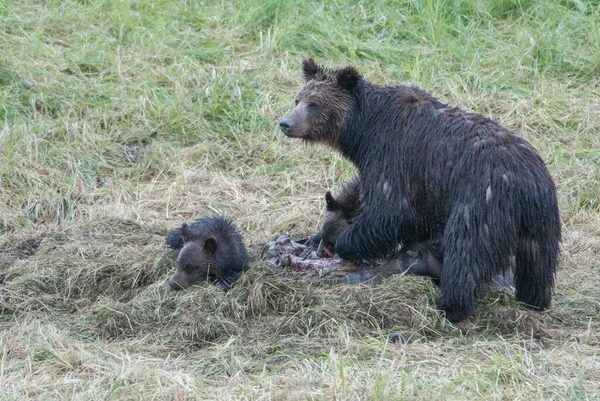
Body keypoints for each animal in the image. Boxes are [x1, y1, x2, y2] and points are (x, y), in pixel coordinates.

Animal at [282, 57, 564, 322]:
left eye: (314, 103)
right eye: (297, 98)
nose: (285, 123)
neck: (364, 131)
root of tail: (527, 183)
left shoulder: (392, 158)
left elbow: (388, 213)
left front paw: (349, 242)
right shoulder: (424, 192)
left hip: (482, 200)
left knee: (466, 251)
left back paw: (450, 305)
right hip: (541, 222)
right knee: (538, 264)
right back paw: (534, 300)